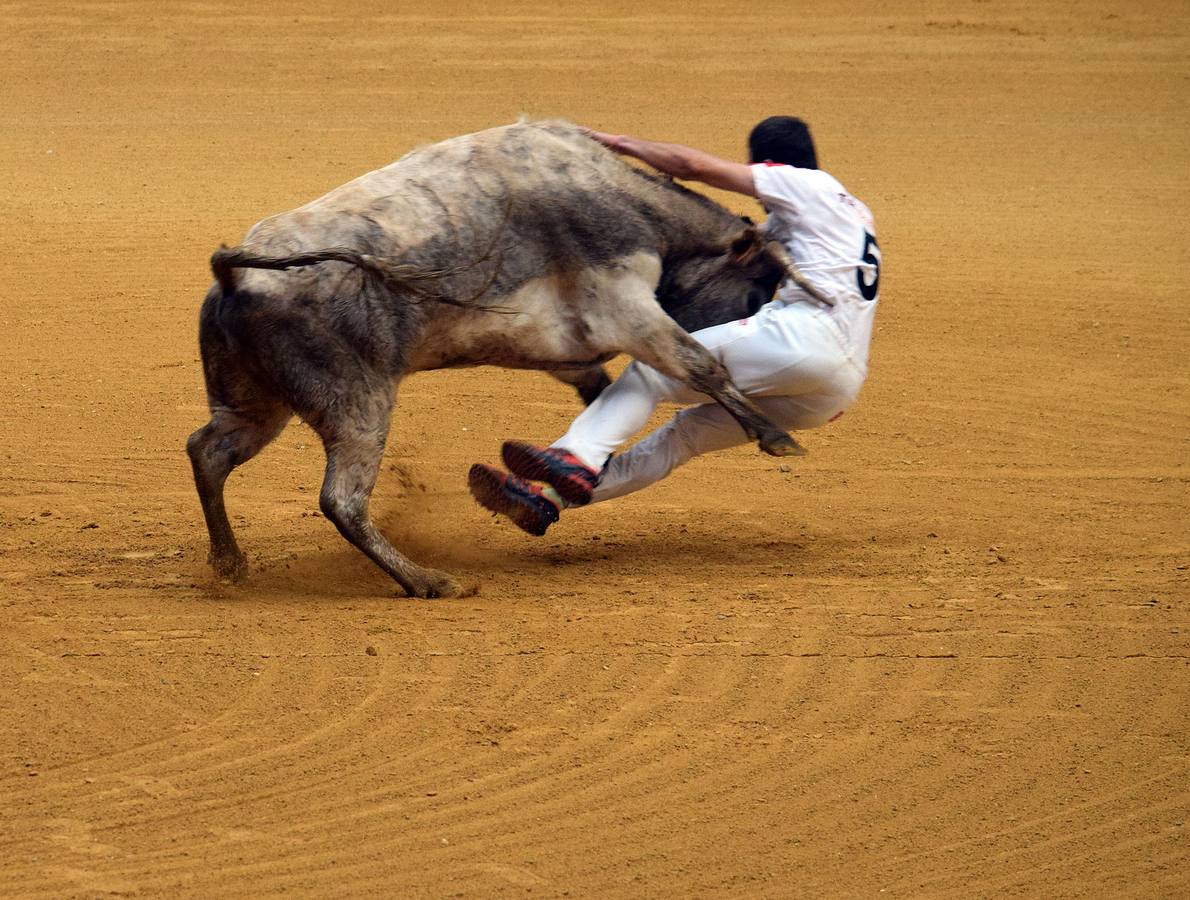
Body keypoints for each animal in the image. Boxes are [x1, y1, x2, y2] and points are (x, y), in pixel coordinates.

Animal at [190, 119, 813, 597]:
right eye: (757, 293)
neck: (625, 202)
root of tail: (234, 271)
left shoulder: (569, 350)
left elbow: (601, 395)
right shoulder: (628, 310)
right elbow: (701, 364)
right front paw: (777, 436)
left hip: (255, 404)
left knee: (209, 453)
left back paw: (230, 565)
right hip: (357, 405)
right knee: (342, 500)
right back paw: (428, 581)